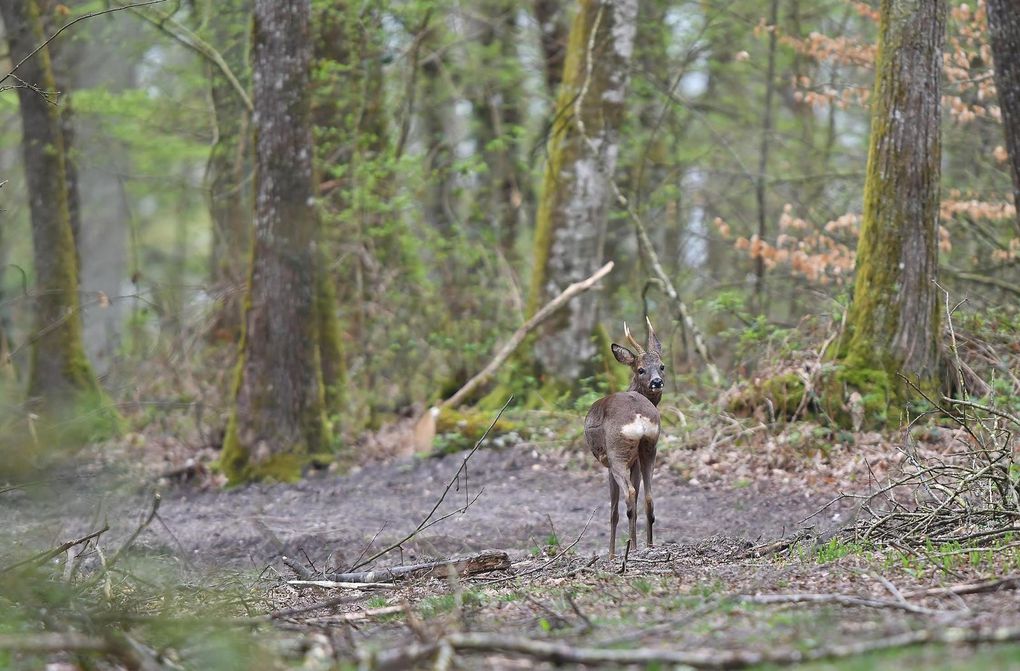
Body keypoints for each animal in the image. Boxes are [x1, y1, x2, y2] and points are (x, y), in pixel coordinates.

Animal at [587, 316, 665, 554]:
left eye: (662, 366)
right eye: (640, 369)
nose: (657, 381)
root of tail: (638, 416)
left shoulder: (607, 463)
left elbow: (613, 511)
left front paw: (612, 554)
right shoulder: (637, 461)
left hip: (617, 453)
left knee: (628, 496)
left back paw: (629, 548)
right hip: (650, 447)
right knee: (648, 496)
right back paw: (648, 545)